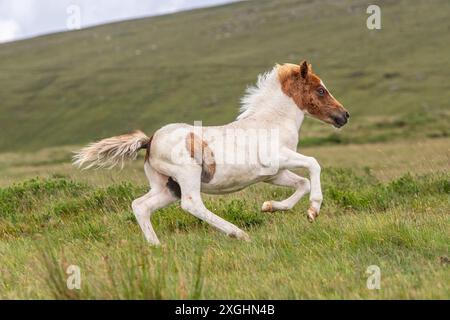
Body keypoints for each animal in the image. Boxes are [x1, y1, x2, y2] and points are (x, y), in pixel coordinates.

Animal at [73, 60, 348, 245]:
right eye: (321, 89)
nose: (344, 116)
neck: (272, 122)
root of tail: (149, 141)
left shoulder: (273, 174)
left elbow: (302, 183)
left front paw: (270, 207)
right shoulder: (277, 159)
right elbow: (313, 164)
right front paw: (314, 209)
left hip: (167, 186)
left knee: (141, 206)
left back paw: (156, 246)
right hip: (187, 176)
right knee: (192, 204)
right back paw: (238, 233)